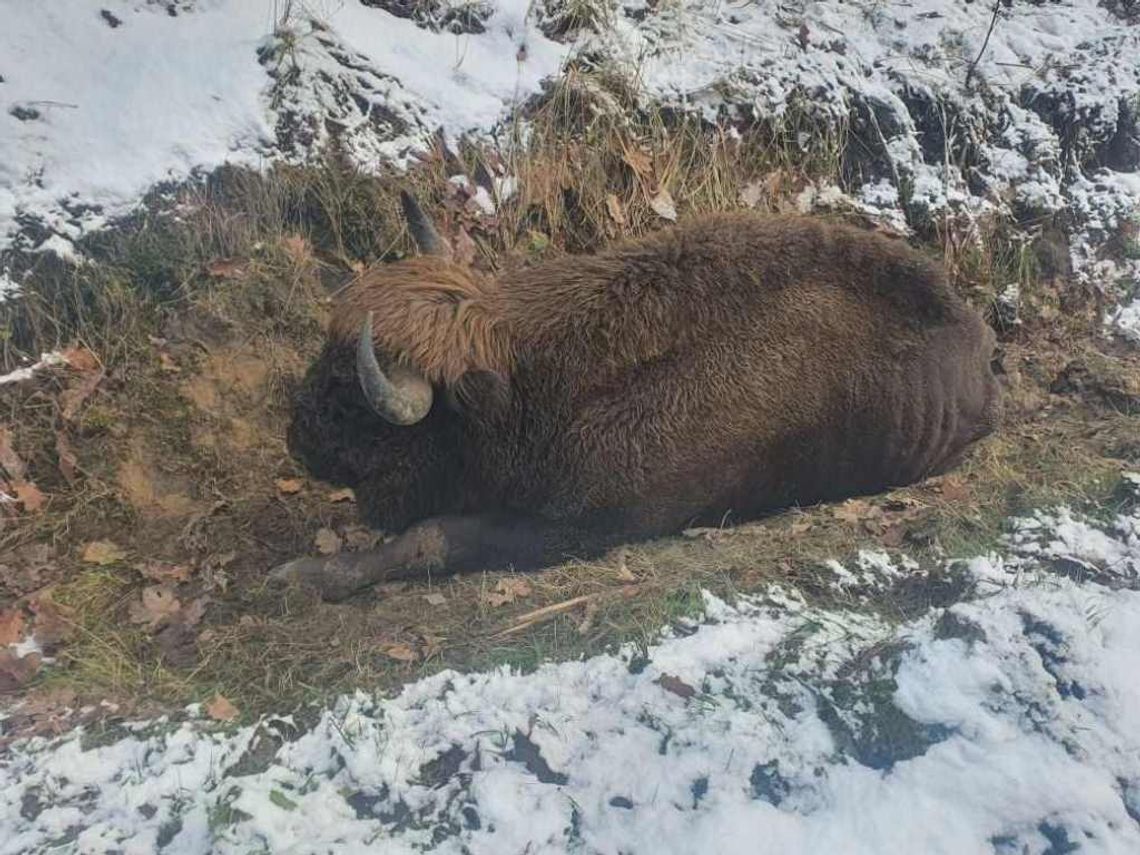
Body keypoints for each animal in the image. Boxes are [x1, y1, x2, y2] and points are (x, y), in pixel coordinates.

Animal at [273, 192, 998, 601]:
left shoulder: (587, 525)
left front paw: (305, 577)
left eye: (351, 393)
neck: (533, 383)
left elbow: (432, 538)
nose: (295, 431)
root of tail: (979, 344)